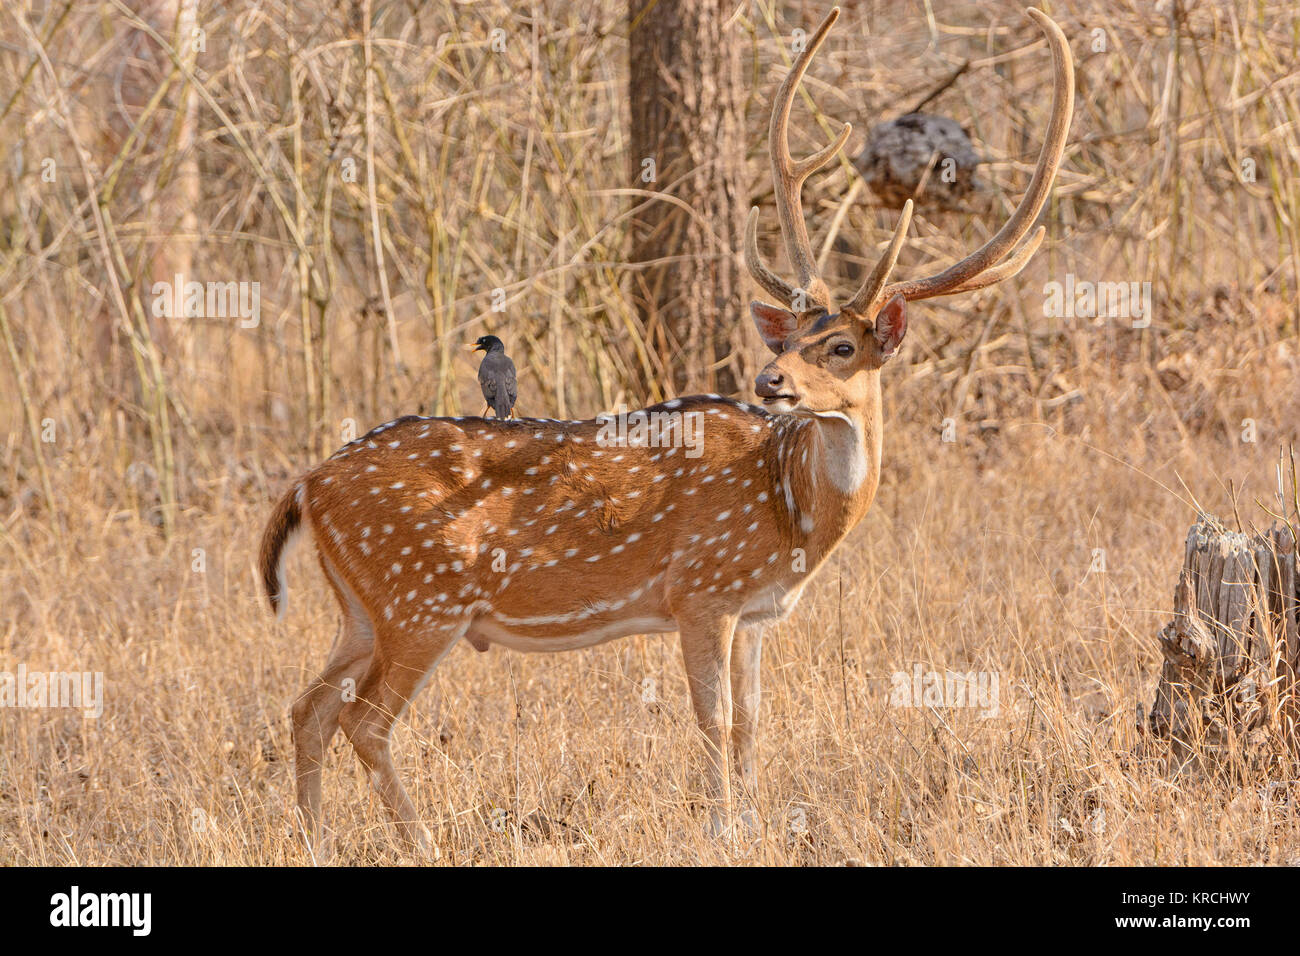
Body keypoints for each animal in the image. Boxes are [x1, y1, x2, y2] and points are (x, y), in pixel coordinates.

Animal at [263, 3, 1076, 848]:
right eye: (785, 339)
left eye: (842, 346)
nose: (771, 380)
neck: (790, 514)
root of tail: (307, 485)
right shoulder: (702, 588)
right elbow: (712, 721)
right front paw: (722, 829)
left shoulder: (753, 612)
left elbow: (752, 723)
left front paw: (753, 822)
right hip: (421, 599)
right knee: (363, 721)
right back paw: (418, 840)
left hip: (363, 610)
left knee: (306, 707)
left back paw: (315, 837)